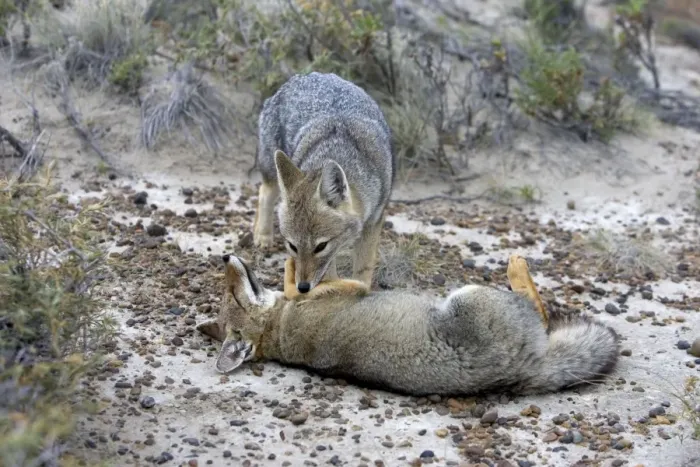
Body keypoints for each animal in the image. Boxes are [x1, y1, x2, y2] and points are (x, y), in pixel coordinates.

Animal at [196, 254, 620, 397]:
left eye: (230, 293)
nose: (224, 256)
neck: (280, 330)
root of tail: (526, 370)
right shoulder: (349, 286)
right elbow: (296, 280)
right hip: (469, 295)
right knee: (539, 308)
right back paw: (518, 269)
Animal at [252, 72, 395, 295]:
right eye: (292, 246)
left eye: (320, 247)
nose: (302, 287)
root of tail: (300, 76)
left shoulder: (373, 221)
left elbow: (363, 269)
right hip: (272, 171)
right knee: (264, 193)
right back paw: (263, 235)